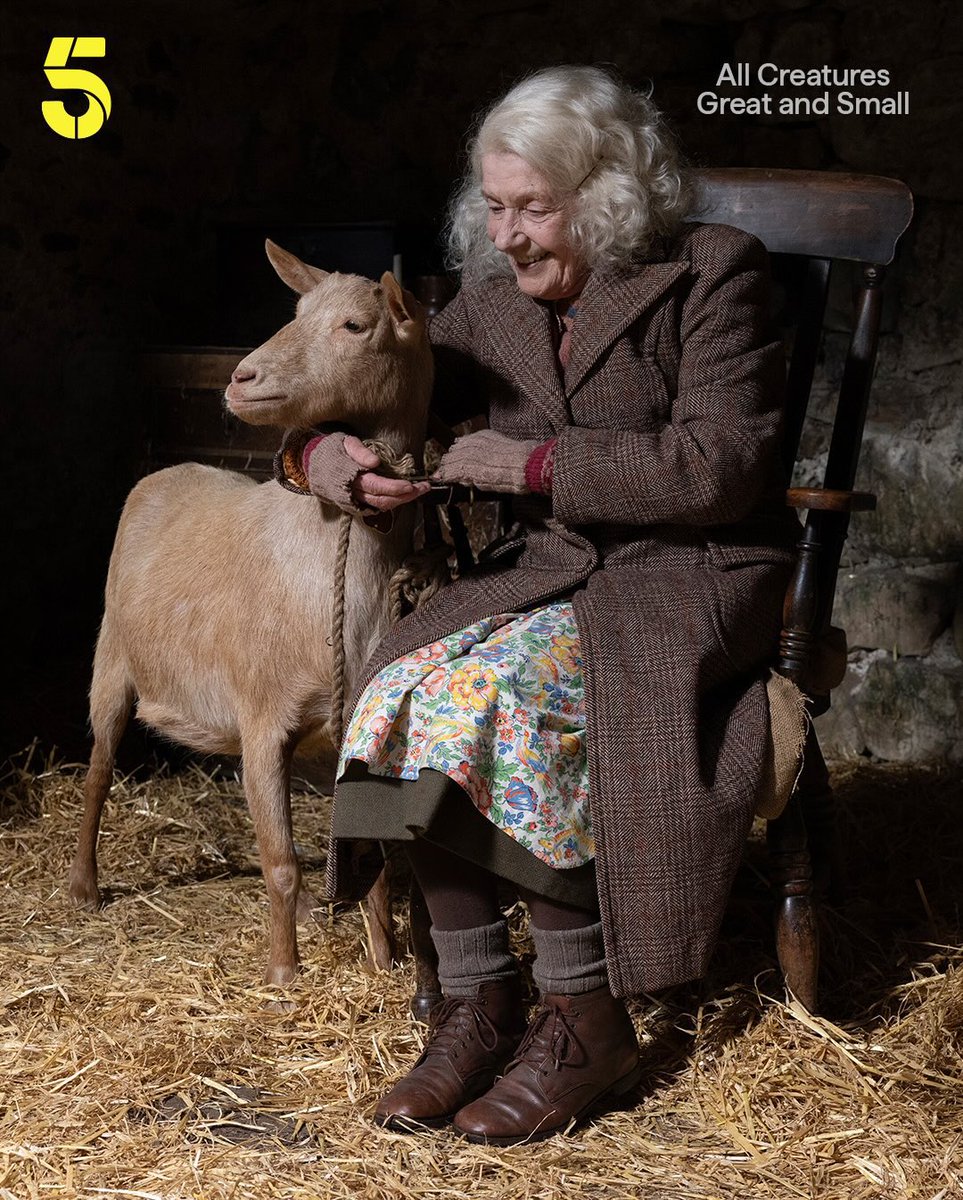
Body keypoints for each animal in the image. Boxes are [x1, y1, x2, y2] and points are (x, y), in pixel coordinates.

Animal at [69, 241, 433, 984]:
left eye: (356, 326)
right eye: (293, 312)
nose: (241, 378)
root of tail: (168, 470)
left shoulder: (347, 729)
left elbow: (373, 868)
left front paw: (384, 961)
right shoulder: (264, 720)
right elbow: (282, 864)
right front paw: (284, 976)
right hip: (112, 662)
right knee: (96, 775)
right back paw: (85, 887)